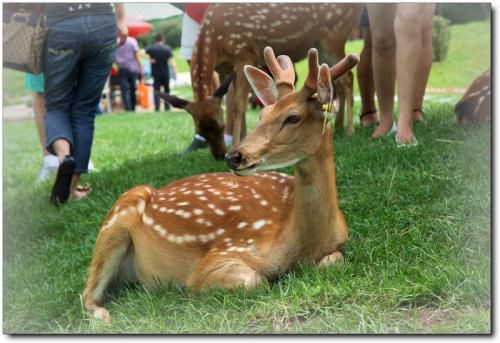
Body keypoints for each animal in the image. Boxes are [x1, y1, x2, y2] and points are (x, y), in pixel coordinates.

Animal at [81, 47, 356, 324]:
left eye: (293, 117)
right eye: (263, 114)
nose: (234, 155)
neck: (299, 245)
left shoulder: (338, 245)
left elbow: (335, 260)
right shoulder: (219, 256)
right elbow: (254, 280)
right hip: (119, 215)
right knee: (87, 292)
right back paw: (105, 315)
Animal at [162, 2, 362, 161]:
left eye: (221, 127)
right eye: (200, 131)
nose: (219, 155)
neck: (216, 40)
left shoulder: (244, 53)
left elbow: (238, 106)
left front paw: (236, 144)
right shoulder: (227, 68)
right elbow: (233, 104)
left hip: (335, 35)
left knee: (348, 78)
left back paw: (350, 130)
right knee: (336, 82)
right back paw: (338, 128)